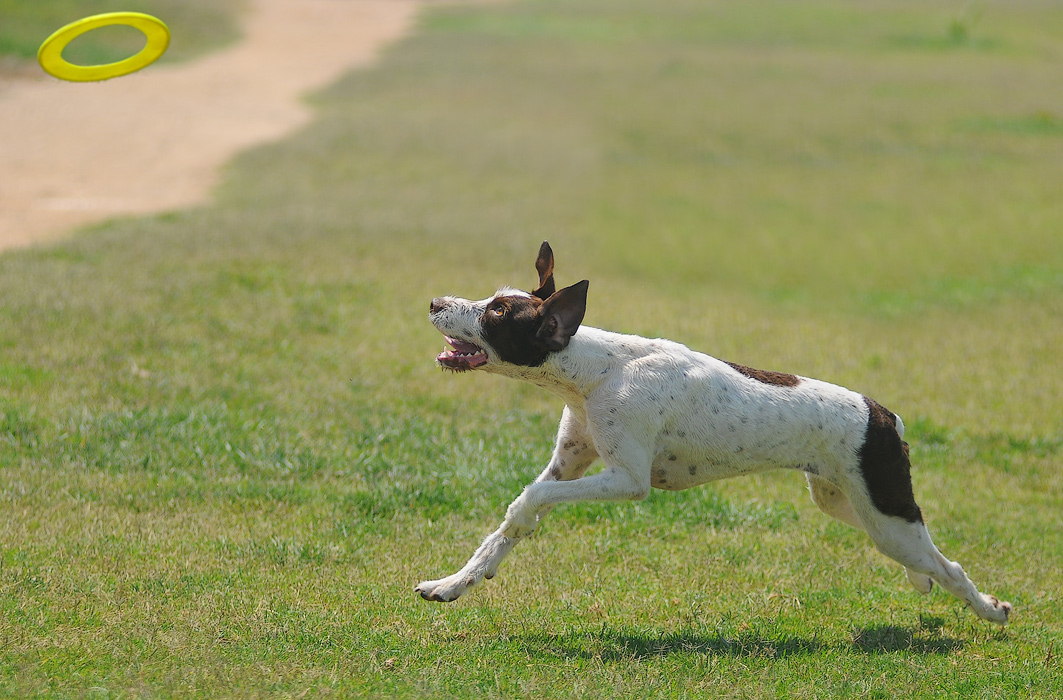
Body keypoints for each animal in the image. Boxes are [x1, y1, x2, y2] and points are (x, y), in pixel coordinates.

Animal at [416, 242, 1011, 624]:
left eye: (496, 313)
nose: (435, 302)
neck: (596, 372)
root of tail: (886, 415)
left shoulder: (628, 480)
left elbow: (529, 499)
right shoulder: (569, 464)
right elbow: (508, 526)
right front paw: (454, 583)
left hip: (886, 514)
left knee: (951, 565)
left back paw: (991, 610)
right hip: (848, 502)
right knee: (926, 558)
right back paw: (924, 582)